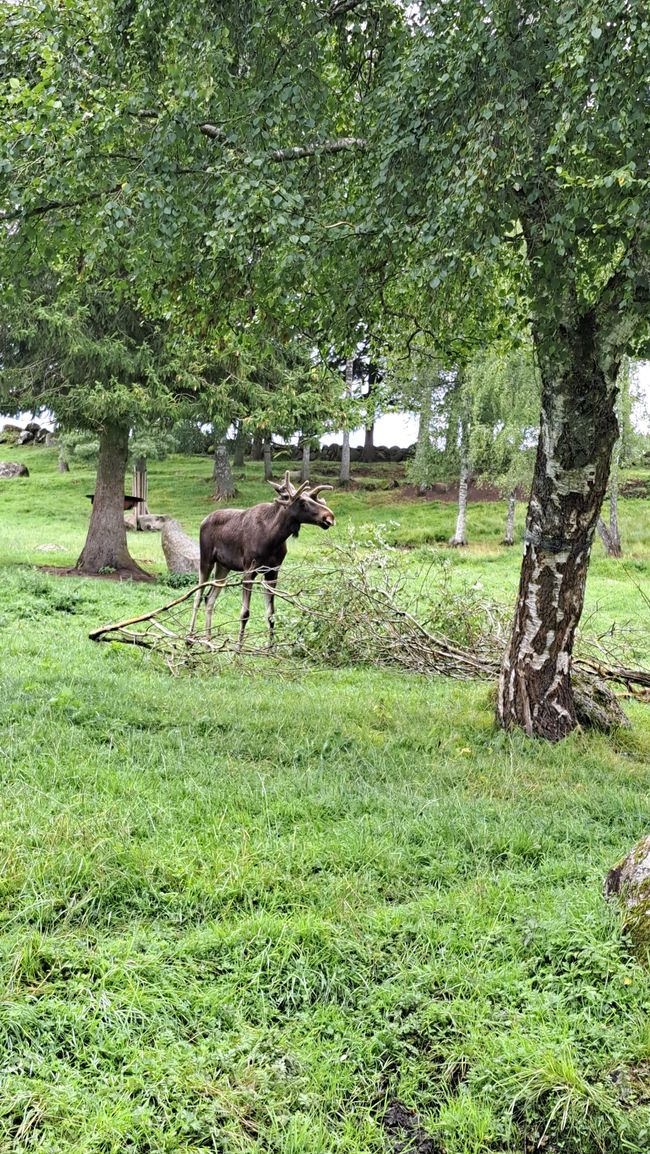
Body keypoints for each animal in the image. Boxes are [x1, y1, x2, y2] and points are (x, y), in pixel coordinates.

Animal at [185, 468, 332, 650]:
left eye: (313, 499)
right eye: (302, 503)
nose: (329, 516)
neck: (273, 537)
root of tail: (203, 521)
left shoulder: (272, 572)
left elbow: (271, 613)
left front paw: (270, 649)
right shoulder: (249, 570)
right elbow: (245, 612)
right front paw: (238, 649)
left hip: (223, 567)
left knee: (209, 599)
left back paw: (208, 641)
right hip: (206, 560)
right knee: (197, 597)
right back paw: (189, 639)